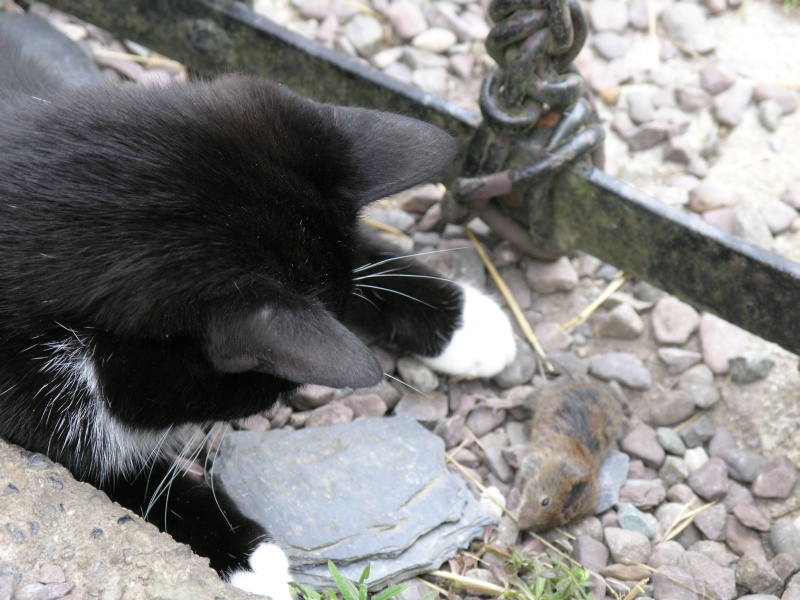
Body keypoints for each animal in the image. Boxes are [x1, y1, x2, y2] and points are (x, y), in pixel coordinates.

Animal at [0, 12, 512, 596]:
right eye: (269, 386)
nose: (289, 400)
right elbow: (104, 469)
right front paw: (244, 552)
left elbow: (360, 253)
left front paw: (466, 321)